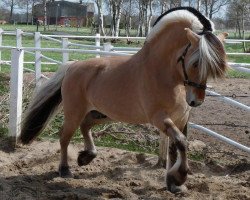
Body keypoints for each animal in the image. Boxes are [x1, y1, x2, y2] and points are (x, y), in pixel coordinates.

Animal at [19, 7, 229, 193]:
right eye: (195, 63)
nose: (196, 102)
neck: (163, 74)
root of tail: (72, 66)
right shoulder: (160, 119)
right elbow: (182, 142)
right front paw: (179, 177)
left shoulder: (181, 120)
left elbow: (175, 148)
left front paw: (174, 183)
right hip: (74, 113)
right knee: (64, 136)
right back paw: (65, 170)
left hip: (103, 114)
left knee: (85, 126)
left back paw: (86, 157)